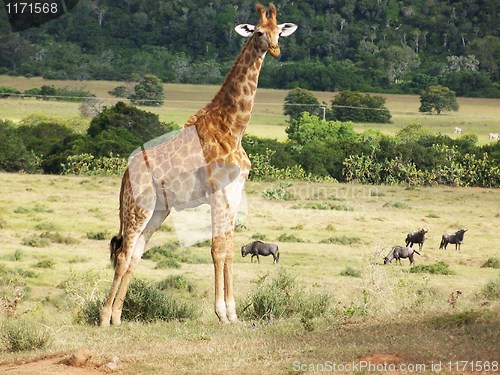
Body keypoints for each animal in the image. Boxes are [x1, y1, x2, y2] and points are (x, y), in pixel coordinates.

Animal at [101, 2, 296, 326]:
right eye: (258, 31)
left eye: (279, 31)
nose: (275, 50)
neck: (233, 128)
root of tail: (125, 175)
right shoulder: (218, 193)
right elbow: (217, 249)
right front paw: (222, 313)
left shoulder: (234, 194)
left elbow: (229, 249)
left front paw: (233, 313)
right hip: (138, 207)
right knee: (124, 251)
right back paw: (104, 318)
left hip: (159, 210)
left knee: (137, 252)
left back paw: (117, 317)